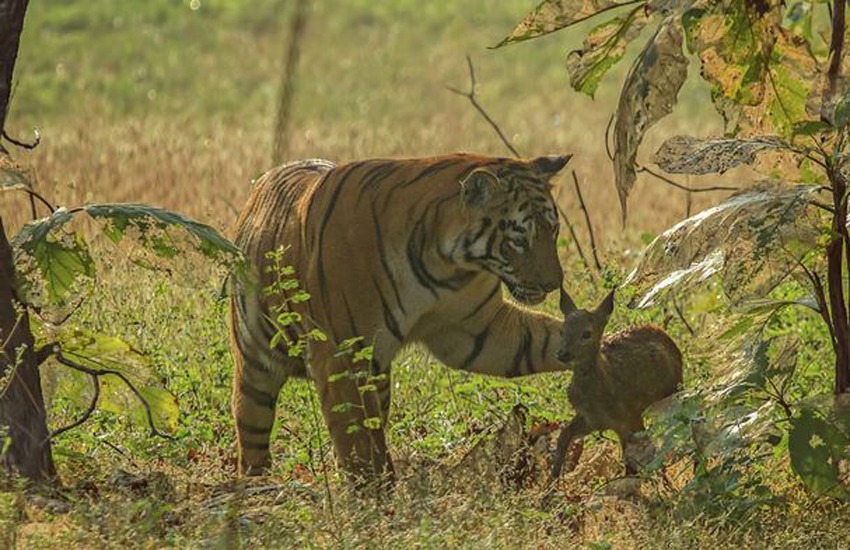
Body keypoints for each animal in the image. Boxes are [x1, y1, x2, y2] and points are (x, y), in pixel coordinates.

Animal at [229, 153, 573, 483]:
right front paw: (374, 497)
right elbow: (358, 443)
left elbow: (543, 340)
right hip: (256, 367)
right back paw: (256, 487)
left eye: (553, 231)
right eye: (519, 240)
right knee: (252, 430)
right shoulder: (341, 356)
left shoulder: (478, 331)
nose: (554, 284)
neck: (447, 264)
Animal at [550, 287, 683, 480]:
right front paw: (553, 479)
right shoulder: (592, 419)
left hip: (673, 390)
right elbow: (564, 434)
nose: (562, 353)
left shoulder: (628, 415)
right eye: (562, 331)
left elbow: (640, 453)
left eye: (587, 333)